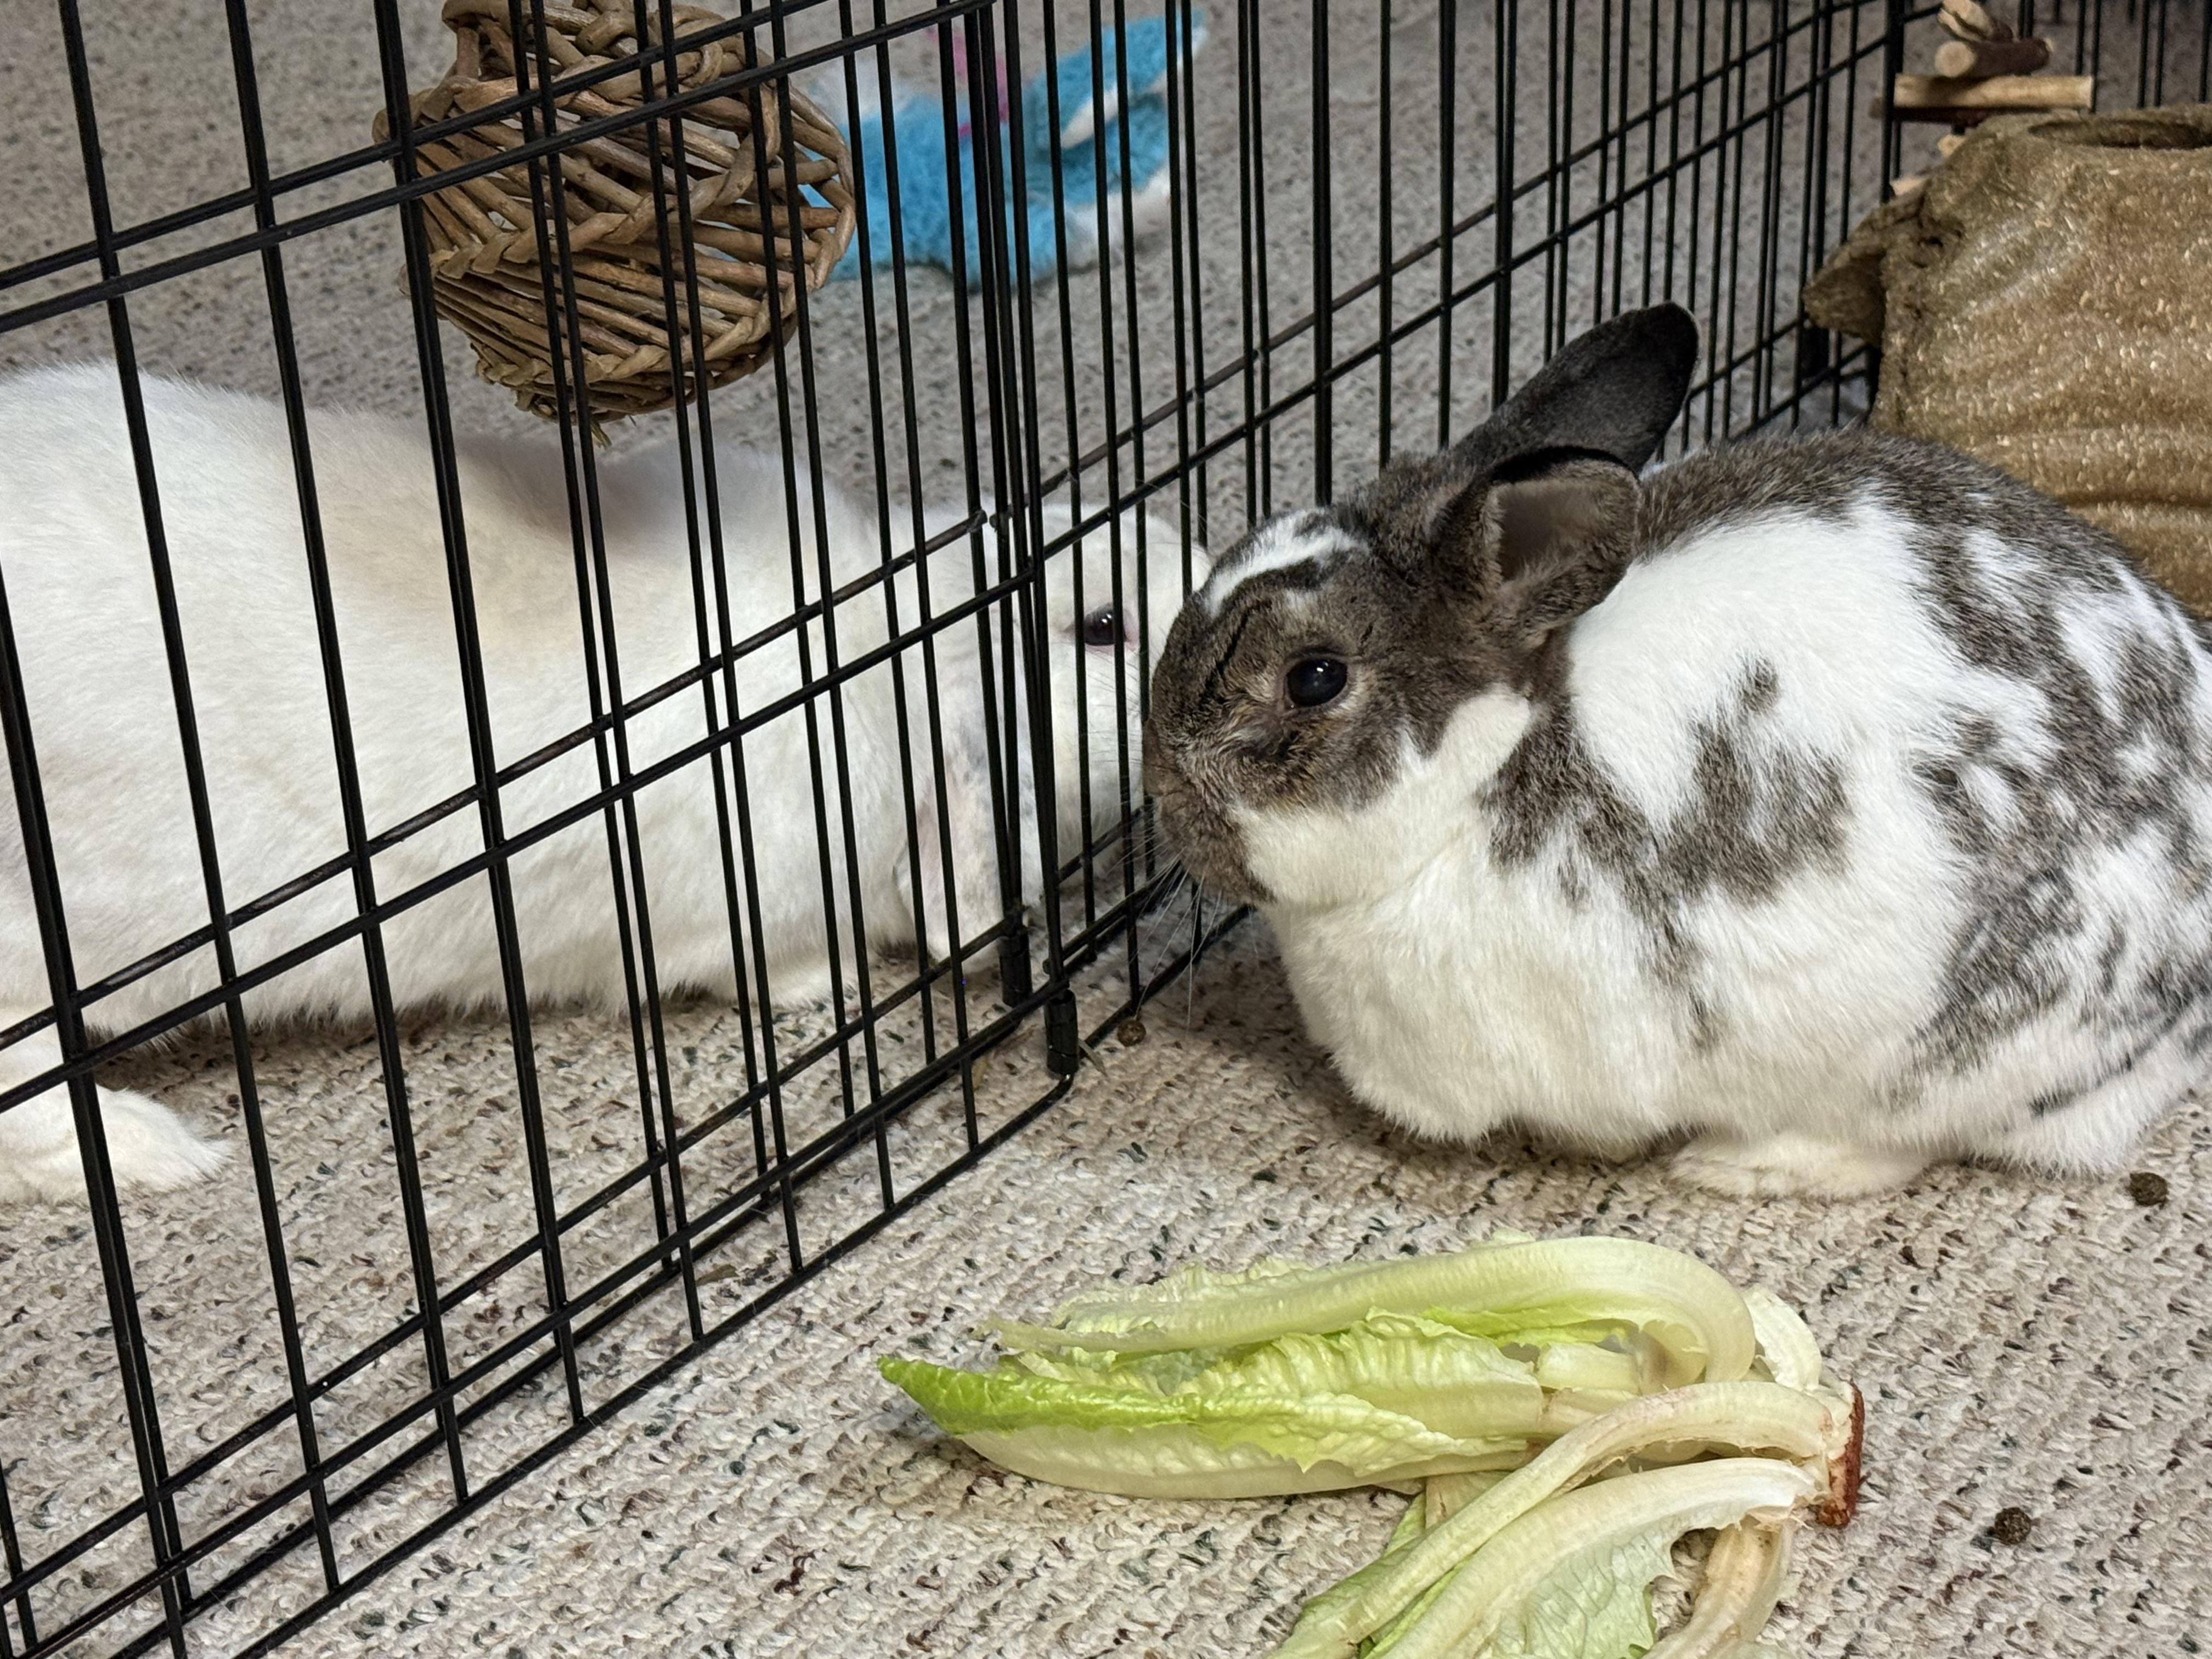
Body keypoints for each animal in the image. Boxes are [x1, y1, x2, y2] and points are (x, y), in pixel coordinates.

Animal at [0, 362, 1201, 1206]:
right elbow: (776, 962)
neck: (873, 656)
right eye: (1101, 626)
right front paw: (830, 986)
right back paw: (157, 1154)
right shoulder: (745, 907)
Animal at [1145, 302, 2212, 1197]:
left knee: (1896, 1141)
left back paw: (1740, 1164)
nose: (1166, 802)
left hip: (1937, 1051)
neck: (1483, 775)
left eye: (1315, 678)